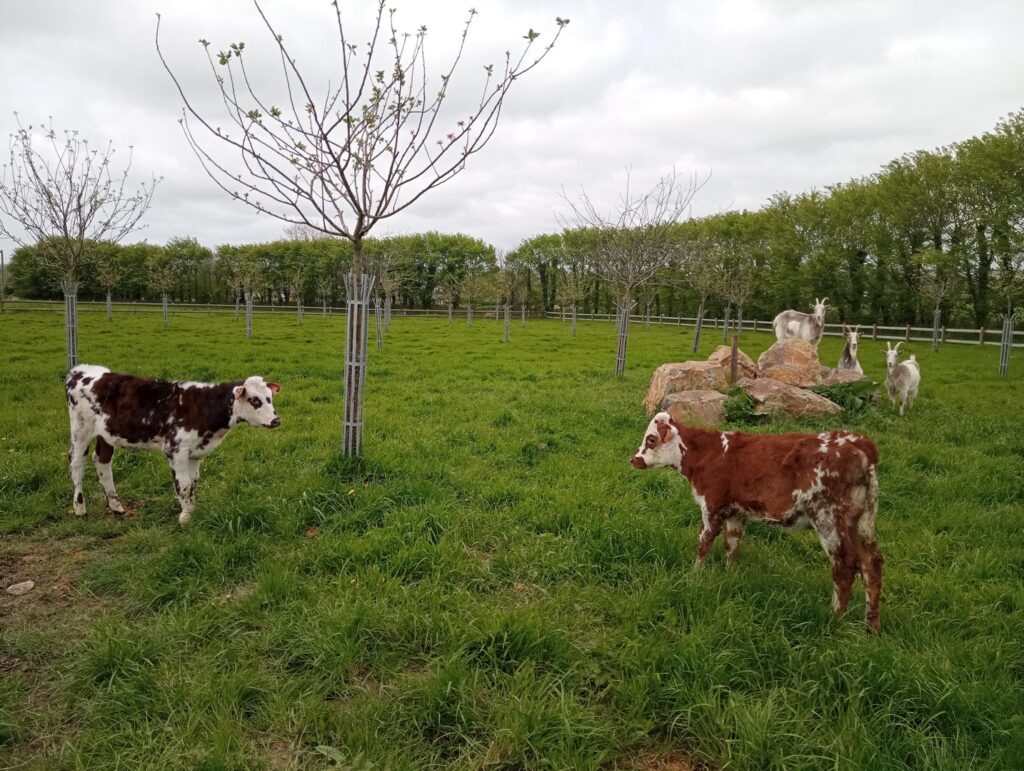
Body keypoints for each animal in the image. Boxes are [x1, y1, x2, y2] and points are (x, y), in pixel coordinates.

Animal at [66, 364, 282, 524]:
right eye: (254, 400)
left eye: (269, 398)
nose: (276, 420)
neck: (202, 407)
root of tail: (79, 370)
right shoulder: (175, 450)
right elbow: (184, 485)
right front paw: (185, 517)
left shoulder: (195, 452)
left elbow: (193, 483)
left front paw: (192, 511)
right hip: (80, 430)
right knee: (76, 464)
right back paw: (80, 509)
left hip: (106, 435)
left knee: (102, 462)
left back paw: (116, 506)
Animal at [626, 411, 884, 626]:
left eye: (651, 439)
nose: (633, 459)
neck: (708, 454)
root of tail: (858, 442)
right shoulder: (736, 513)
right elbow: (732, 545)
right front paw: (729, 576)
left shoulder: (712, 508)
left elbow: (703, 545)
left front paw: (694, 577)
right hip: (860, 522)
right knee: (871, 563)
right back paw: (871, 626)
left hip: (828, 518)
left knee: (845, 564)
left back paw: (835, 617)